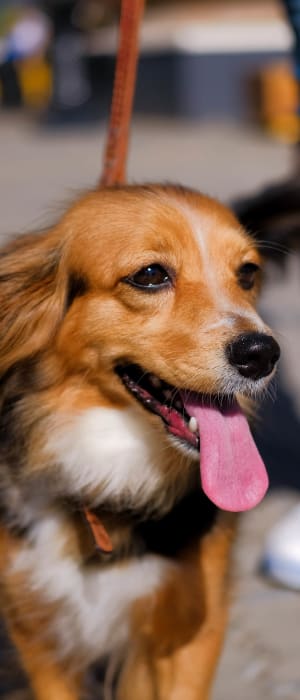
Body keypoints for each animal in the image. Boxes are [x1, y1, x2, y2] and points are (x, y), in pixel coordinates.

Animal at [0, 186, 278, 700]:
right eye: (150, 275)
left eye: (247, 274)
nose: (262, 354)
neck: (110, 470)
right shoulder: (39, 631)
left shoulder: (192, 628)